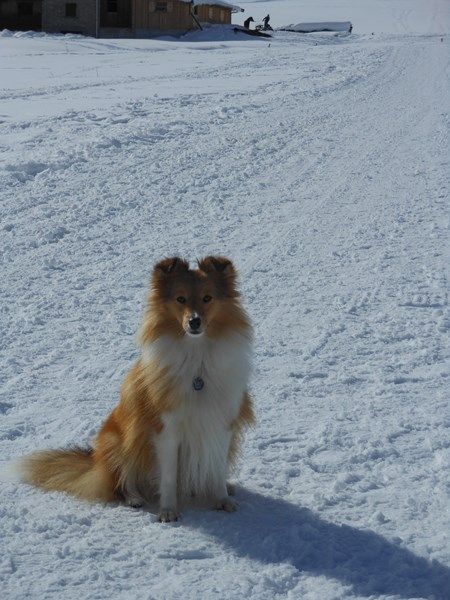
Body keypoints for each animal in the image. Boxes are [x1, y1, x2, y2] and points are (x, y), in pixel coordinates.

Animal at [19, 255, 253, 524]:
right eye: (180, 299)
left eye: (207, 298)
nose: (194, 322)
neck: (197, 362)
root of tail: (95, 461)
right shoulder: (165, 428)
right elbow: (168, 477)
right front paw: (168, 510)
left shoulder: (222, 423)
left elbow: (216, 468)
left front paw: (221, 498)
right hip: (121, 437)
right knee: (122, 480)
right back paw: (134, 498)